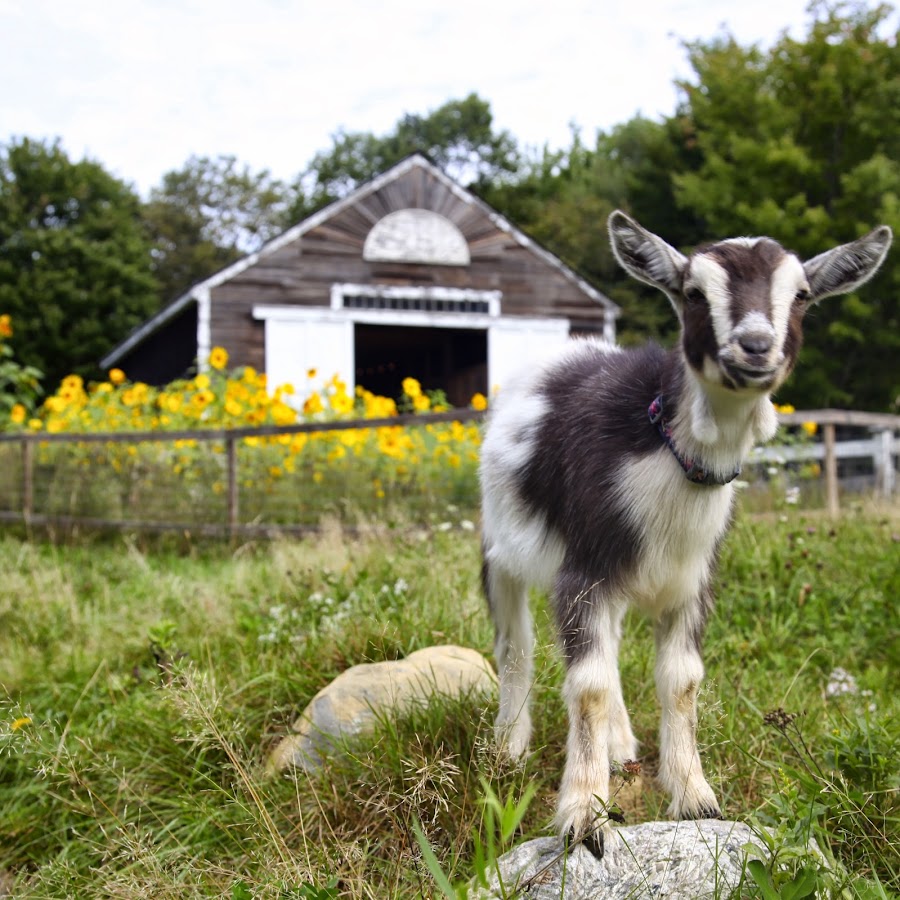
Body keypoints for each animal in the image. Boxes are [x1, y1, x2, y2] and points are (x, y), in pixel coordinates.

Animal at [482, 213, 888, 856]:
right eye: (694, 293)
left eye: (801, 295)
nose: (755, 346)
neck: (667, 455)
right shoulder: (584, 572)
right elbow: (588, 685)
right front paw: (583, 817)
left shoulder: (692, 582)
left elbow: (682, 682)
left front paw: (695, 797)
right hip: (500, 546)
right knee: (514, 643)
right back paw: (509, 746)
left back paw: (621, 745)